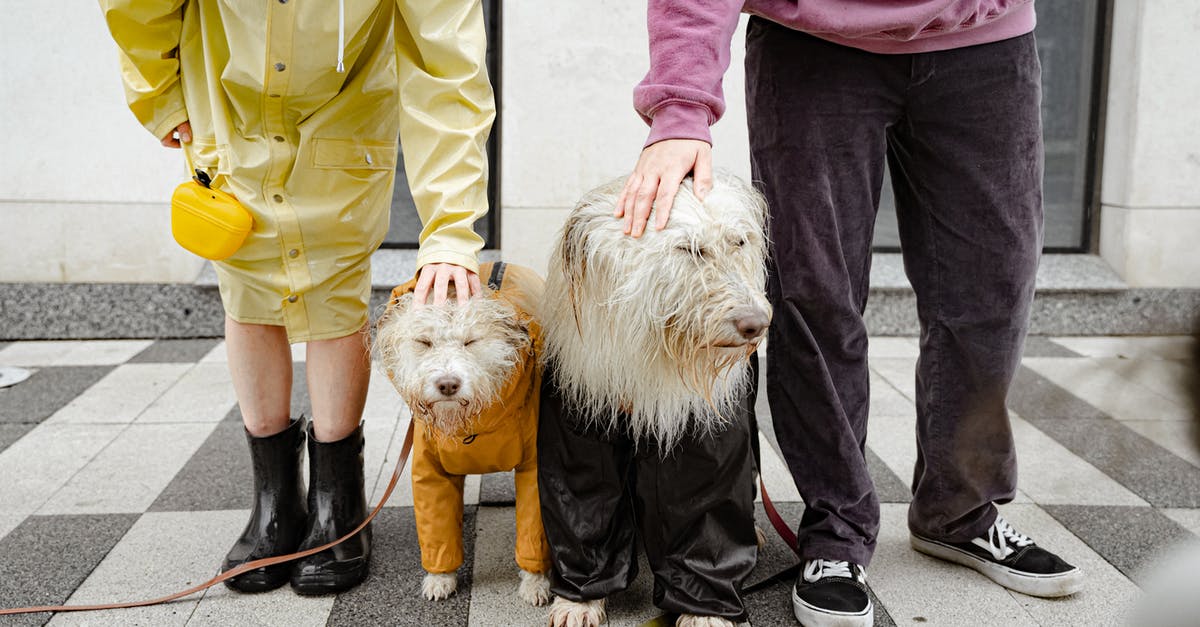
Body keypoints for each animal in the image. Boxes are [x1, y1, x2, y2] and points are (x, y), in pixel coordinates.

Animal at [376, 259, 554, 605]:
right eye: (424, 342)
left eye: (471, 342)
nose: (448, 384)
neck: (472, 426)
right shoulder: (430, 471)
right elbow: (438, 527)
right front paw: (440, 577)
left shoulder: (536, 466)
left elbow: (533, 527)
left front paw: (535, 582)